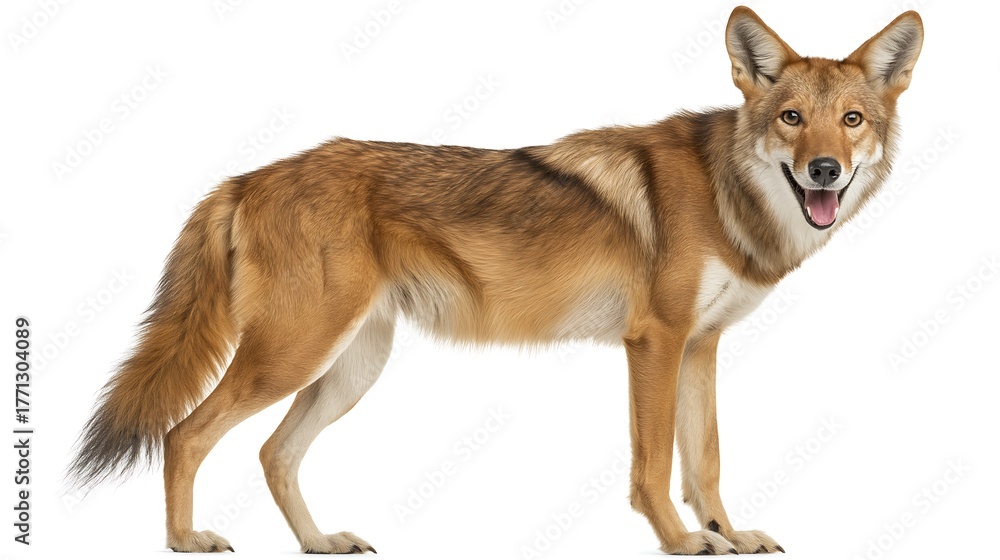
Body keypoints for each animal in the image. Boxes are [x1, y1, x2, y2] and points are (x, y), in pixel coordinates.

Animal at [68, 6, 922, 555]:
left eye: (850, 120)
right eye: (790, 118)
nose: (823, 169)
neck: (729, 196)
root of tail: (244, 177)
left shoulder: (700, 347)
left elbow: (704, 459)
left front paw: (727, 532)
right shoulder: (655, 341)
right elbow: (653, 465)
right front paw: (682, 542)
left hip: (349, 368)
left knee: (274, 454)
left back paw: (319, 542)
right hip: (294, 355)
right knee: (185, 433)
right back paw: (185, 540)